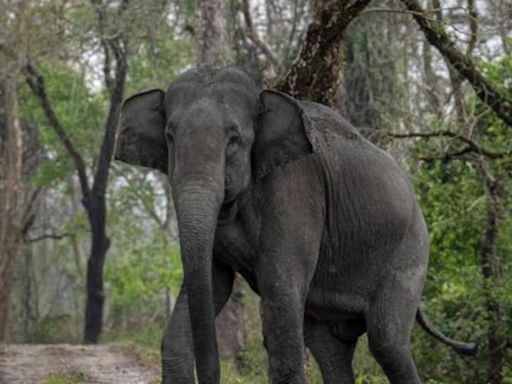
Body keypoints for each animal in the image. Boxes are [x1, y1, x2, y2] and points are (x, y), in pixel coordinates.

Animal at [114, 68, 474, 384]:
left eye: (234, 139)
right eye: (169, 137)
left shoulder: (295, 190)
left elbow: (279, 287)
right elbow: (214, 282)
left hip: (410, 253)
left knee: (387, 342)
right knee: (329, 348)